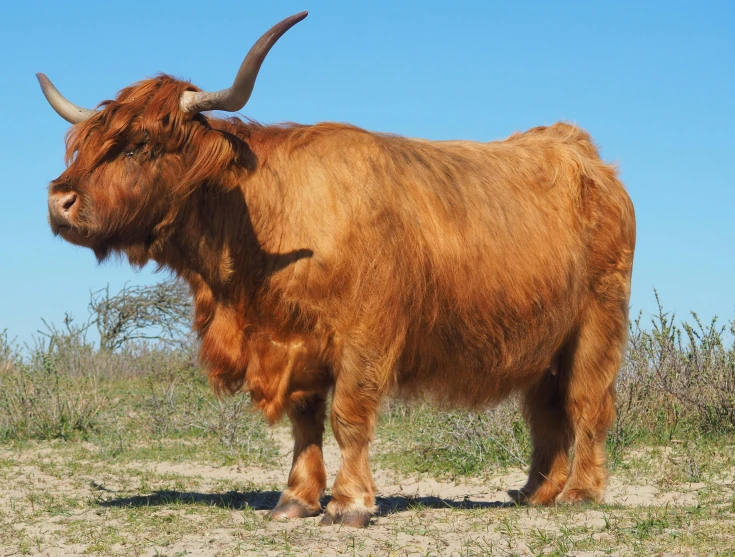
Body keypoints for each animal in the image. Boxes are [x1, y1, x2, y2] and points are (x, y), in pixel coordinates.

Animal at [37, 11, 636, 524]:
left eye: (140, 143)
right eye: (85, 141)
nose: (59, 201)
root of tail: (577, 150)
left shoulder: (367, 334)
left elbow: (349, 416)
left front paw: (350, 503)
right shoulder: (295, 341)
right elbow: (305, 423)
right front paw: (296, 499)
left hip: (597, 324)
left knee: (586, 402)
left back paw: (580, 492)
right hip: (544, 343)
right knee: (545, 411)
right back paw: (536, 492)